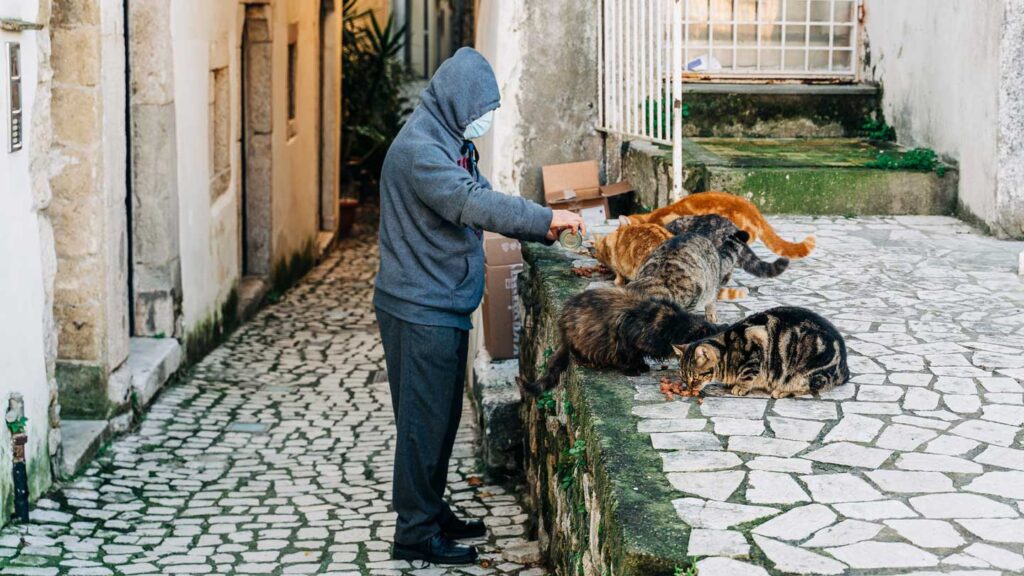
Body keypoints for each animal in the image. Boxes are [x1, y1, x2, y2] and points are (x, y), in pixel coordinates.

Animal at [675, 307, 851, 397]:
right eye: (683, 377)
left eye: (695, 378)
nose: (689, 388)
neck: (727, 351)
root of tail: (845, 368)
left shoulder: (755, 348)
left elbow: (747, 374)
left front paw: (740, 387)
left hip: (806, 371)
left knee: (811, 387)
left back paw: (781, 391)